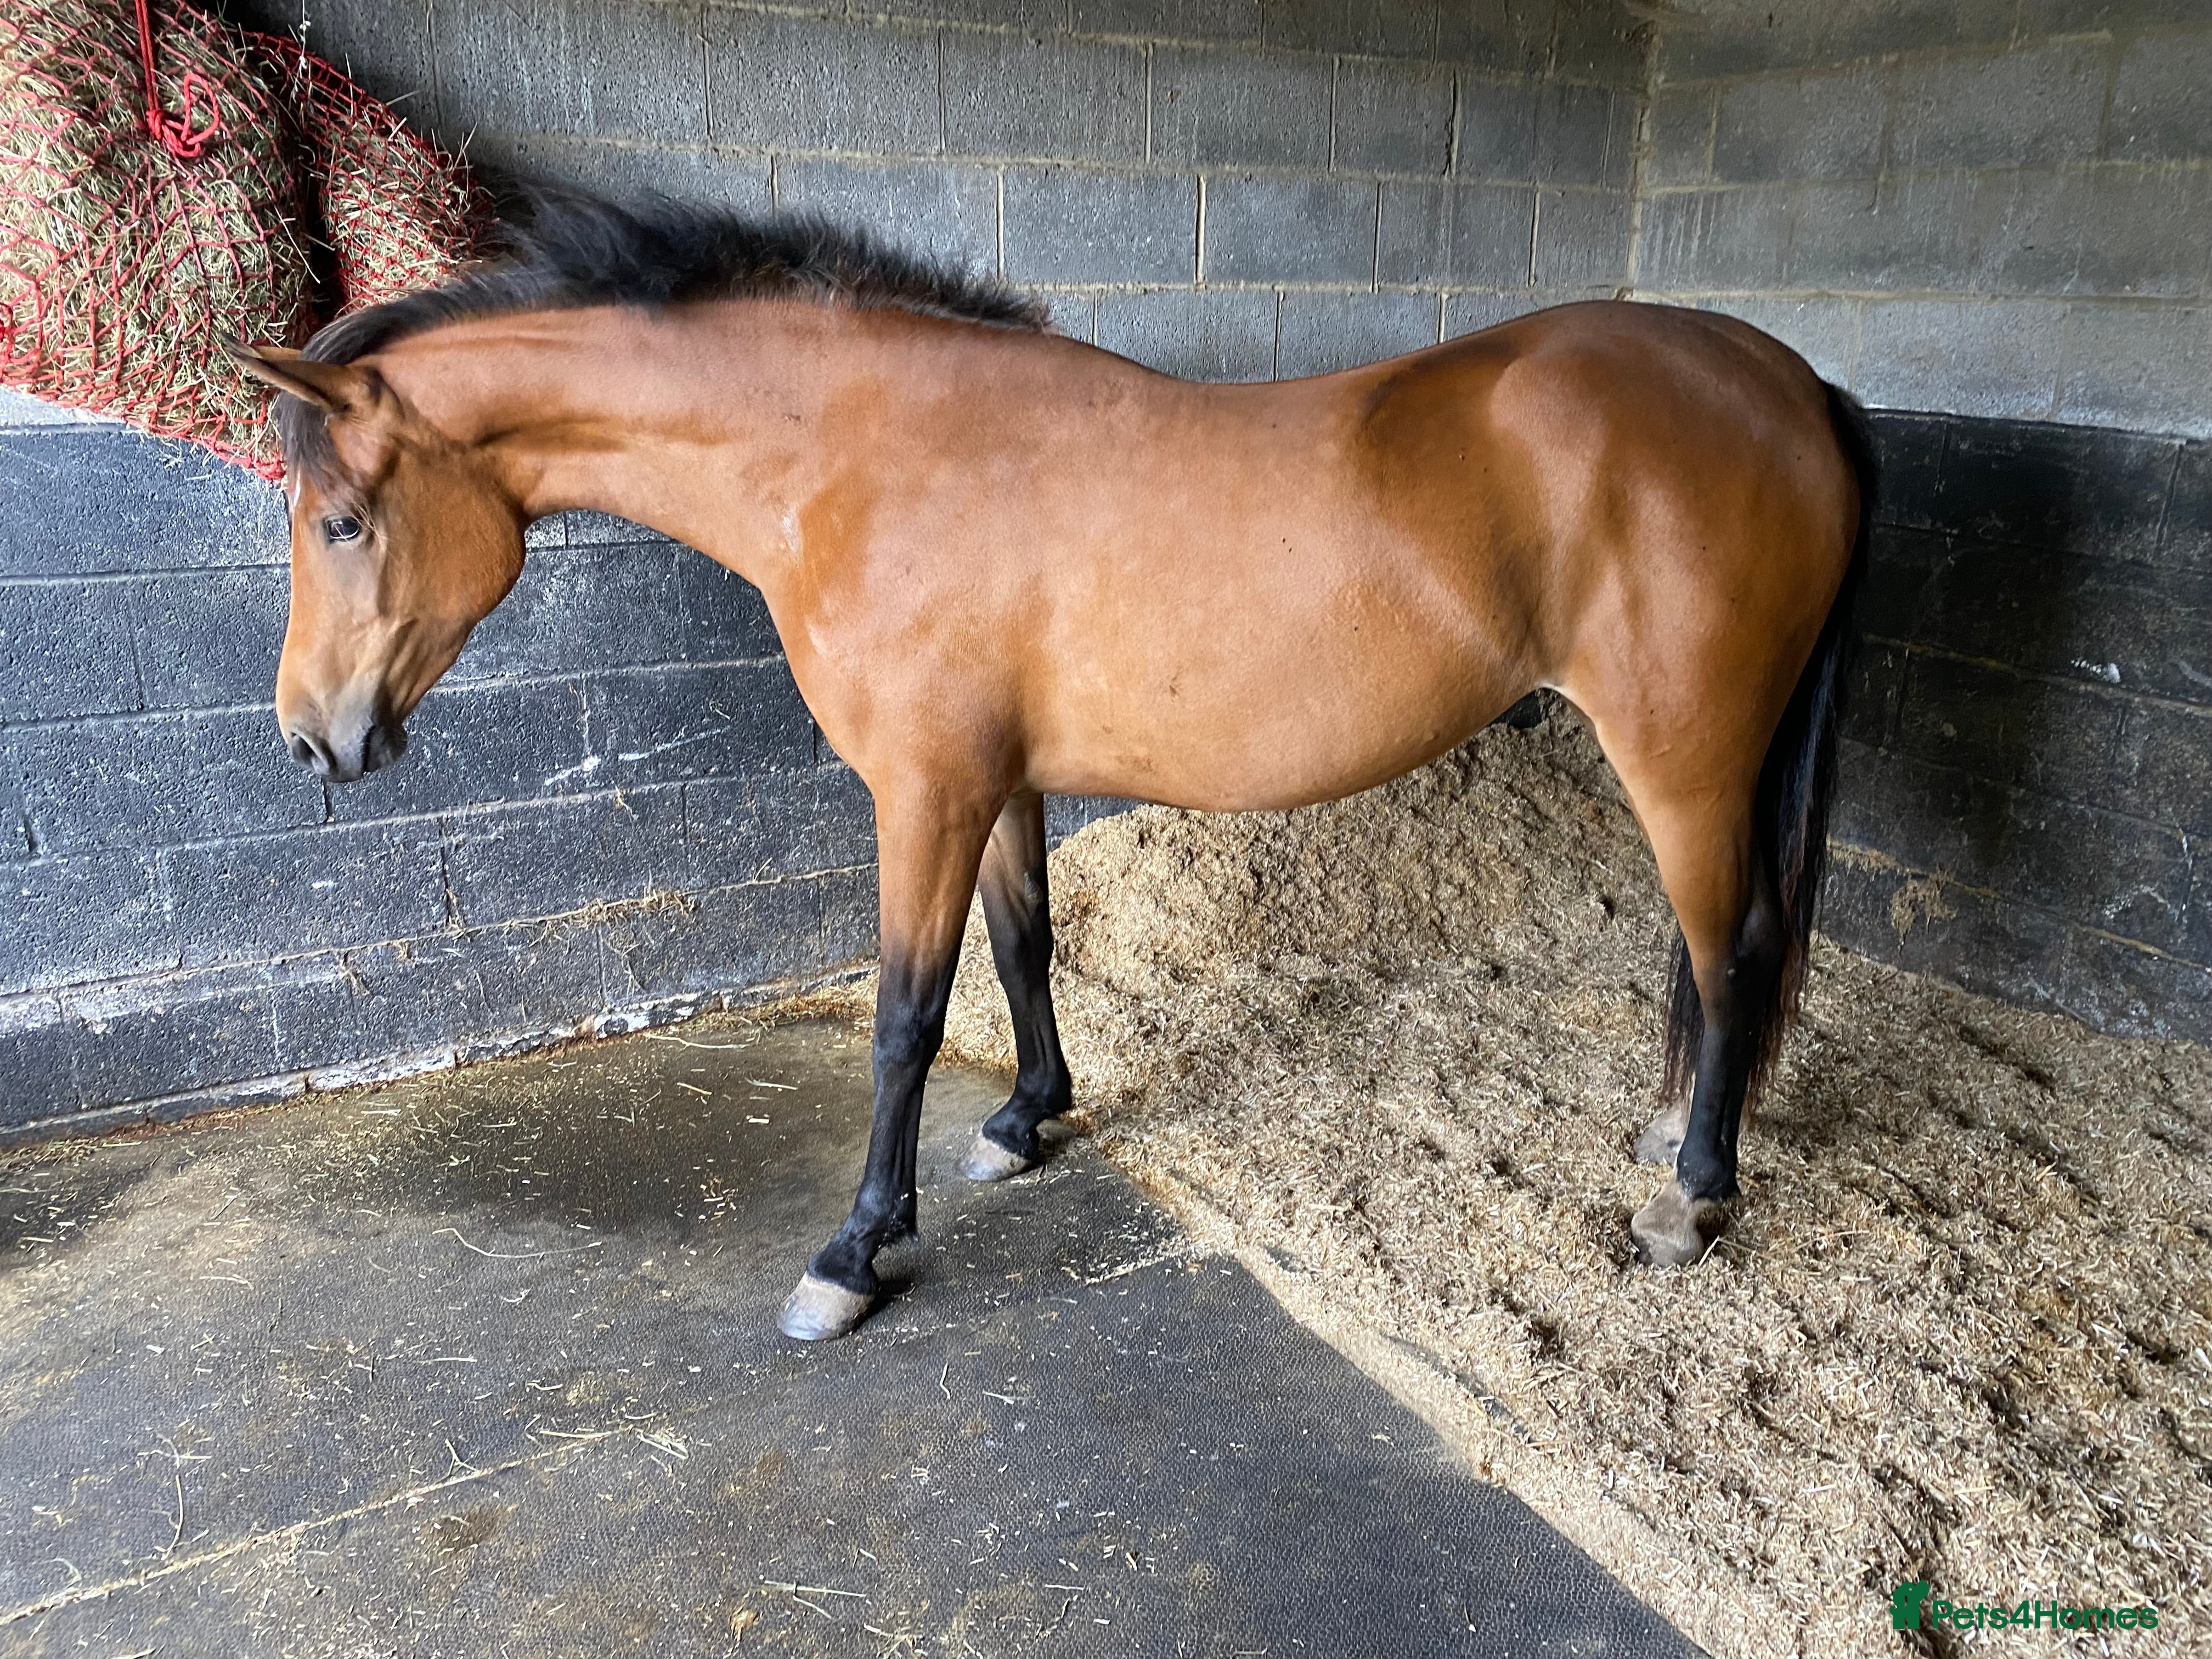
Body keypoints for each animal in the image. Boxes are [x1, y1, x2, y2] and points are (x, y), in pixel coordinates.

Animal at [226, 196, 1871, 1342]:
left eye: (342, 522)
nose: (315, 737)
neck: (870, 458)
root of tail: (1790, 384)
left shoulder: (923, 793)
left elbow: (903, 1018)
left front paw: (852, 1255)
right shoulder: (995, 782)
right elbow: (1023, 948)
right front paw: (1029, 1121)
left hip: (1685, 758)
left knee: (1732, 952)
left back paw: (1694, 1198)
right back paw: (1675, 1134)